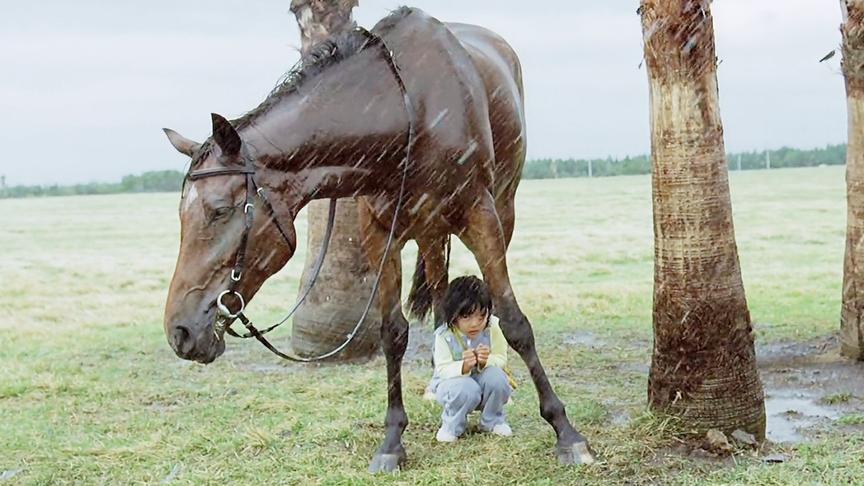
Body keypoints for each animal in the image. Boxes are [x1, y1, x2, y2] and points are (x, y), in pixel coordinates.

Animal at [162, 6, 592, 470]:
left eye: (219, 209)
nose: (179, 332)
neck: (408, 113)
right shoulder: (378, 234)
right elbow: (393, 333)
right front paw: (392, 440)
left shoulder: (482, 217)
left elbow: (513, 322)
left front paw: (566, 431)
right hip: (430, 230)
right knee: (440, 298)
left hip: (502, 208)